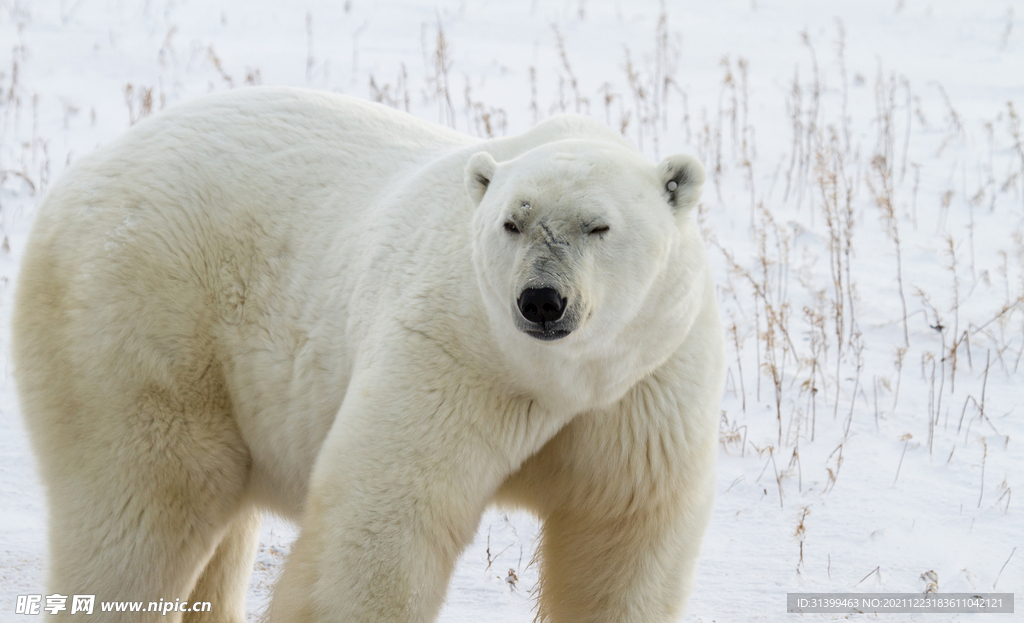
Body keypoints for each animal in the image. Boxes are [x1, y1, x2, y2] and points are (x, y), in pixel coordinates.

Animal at [12, 85, 724, 618]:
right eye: (511, 222)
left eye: (598, 226)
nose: (541, 300)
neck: (557, 379)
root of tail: (77, 176)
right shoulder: (453, 353)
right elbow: (386, 519)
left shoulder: (645, 387)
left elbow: (623, 538)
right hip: (141, 315)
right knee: (142, 508)